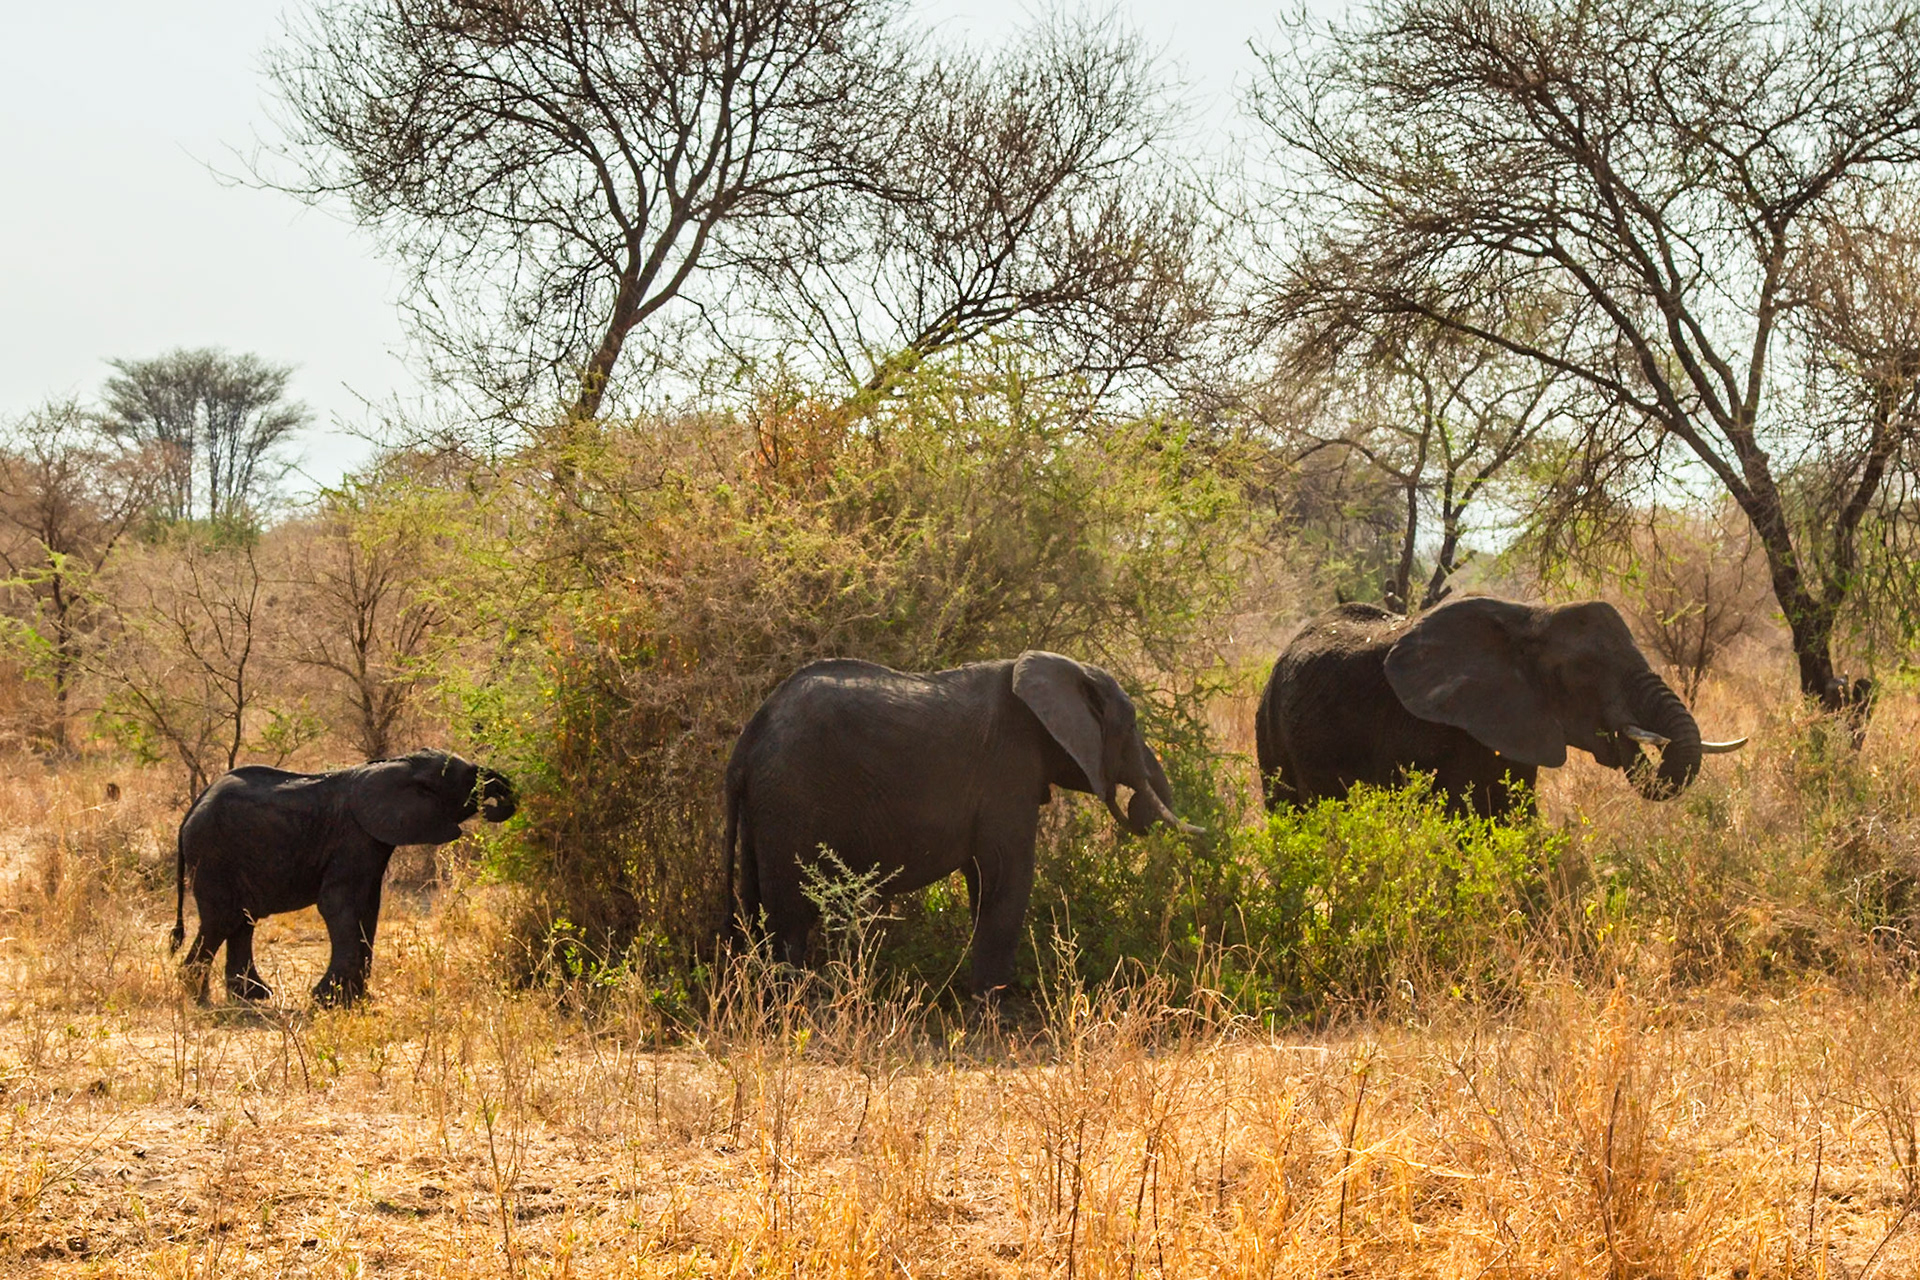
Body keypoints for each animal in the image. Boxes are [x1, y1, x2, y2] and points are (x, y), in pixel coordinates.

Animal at [171, 750, 517, 1006]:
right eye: (470, 779)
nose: (502, 790)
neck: (401, 763)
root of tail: (190, 812)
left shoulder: (370, 841)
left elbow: (368, 908)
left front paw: (355, 999)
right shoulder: (352, 836)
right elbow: (339, 904)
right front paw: (329, 1001)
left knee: (243, 919)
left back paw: (252, 996)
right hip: (212, 853)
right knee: (223, 919)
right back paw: (199, 997)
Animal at [724, 651, 1201, 998]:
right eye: (1133, 724)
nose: (1136, 805)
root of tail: (747, 741)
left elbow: (984, 877)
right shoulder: (1008, 766)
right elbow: (1007, 873)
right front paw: (994, 1007)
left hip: (766, 808)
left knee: (758, 901)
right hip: (791, 799)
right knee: (789, 917)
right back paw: (796, 1008)